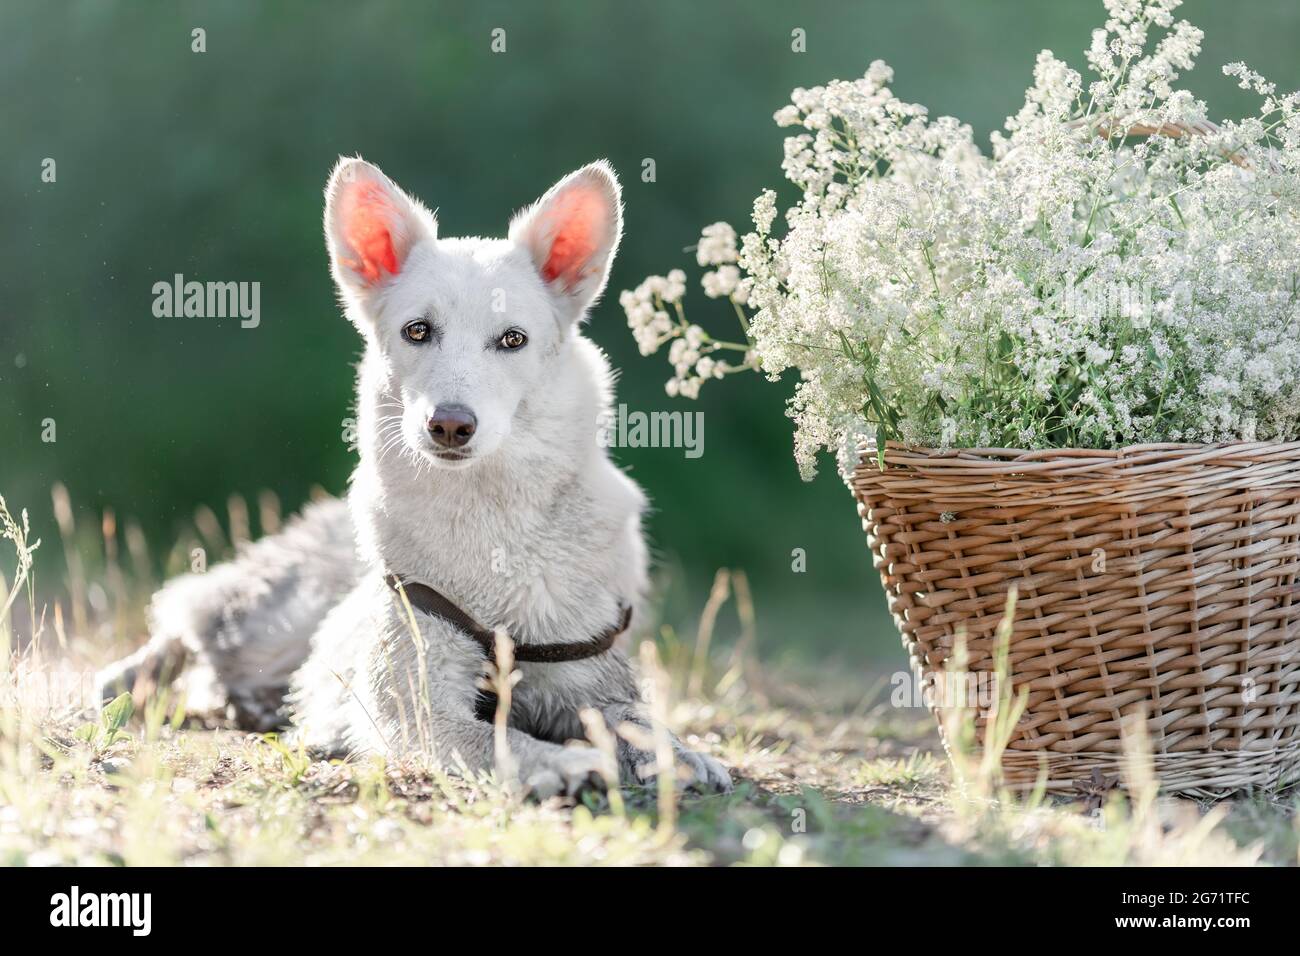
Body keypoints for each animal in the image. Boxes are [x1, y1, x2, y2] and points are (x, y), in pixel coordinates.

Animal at [98, 157, 733, 796]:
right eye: (418, 331)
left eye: (512, 339)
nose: (449, 425)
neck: (489, 525)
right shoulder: (415, 700)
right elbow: (498, 740)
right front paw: (559, 763)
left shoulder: (590, 678)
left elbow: (637, 721)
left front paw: (680, 754)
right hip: (269, 620)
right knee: (190, 618)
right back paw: (126, 680)